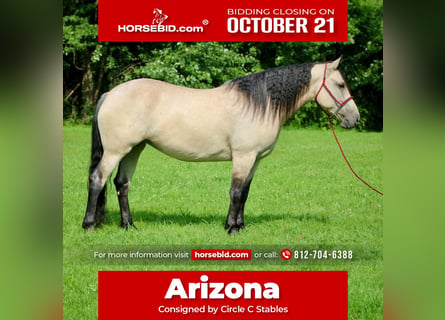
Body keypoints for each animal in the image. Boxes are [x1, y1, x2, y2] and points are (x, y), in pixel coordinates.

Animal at [82, 56, 360, 234]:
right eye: (340, 84)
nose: (354, 119)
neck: (260, 103)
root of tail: (110, 93)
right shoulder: (243, 157)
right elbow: (235, 192)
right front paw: (232, 229)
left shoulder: (255, 160)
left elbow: (245, 193)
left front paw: (239, 225)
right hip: (116, 151)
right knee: (97, 179)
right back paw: (89, 225)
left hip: (134, 149)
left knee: (122, 184)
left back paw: (128, 225)